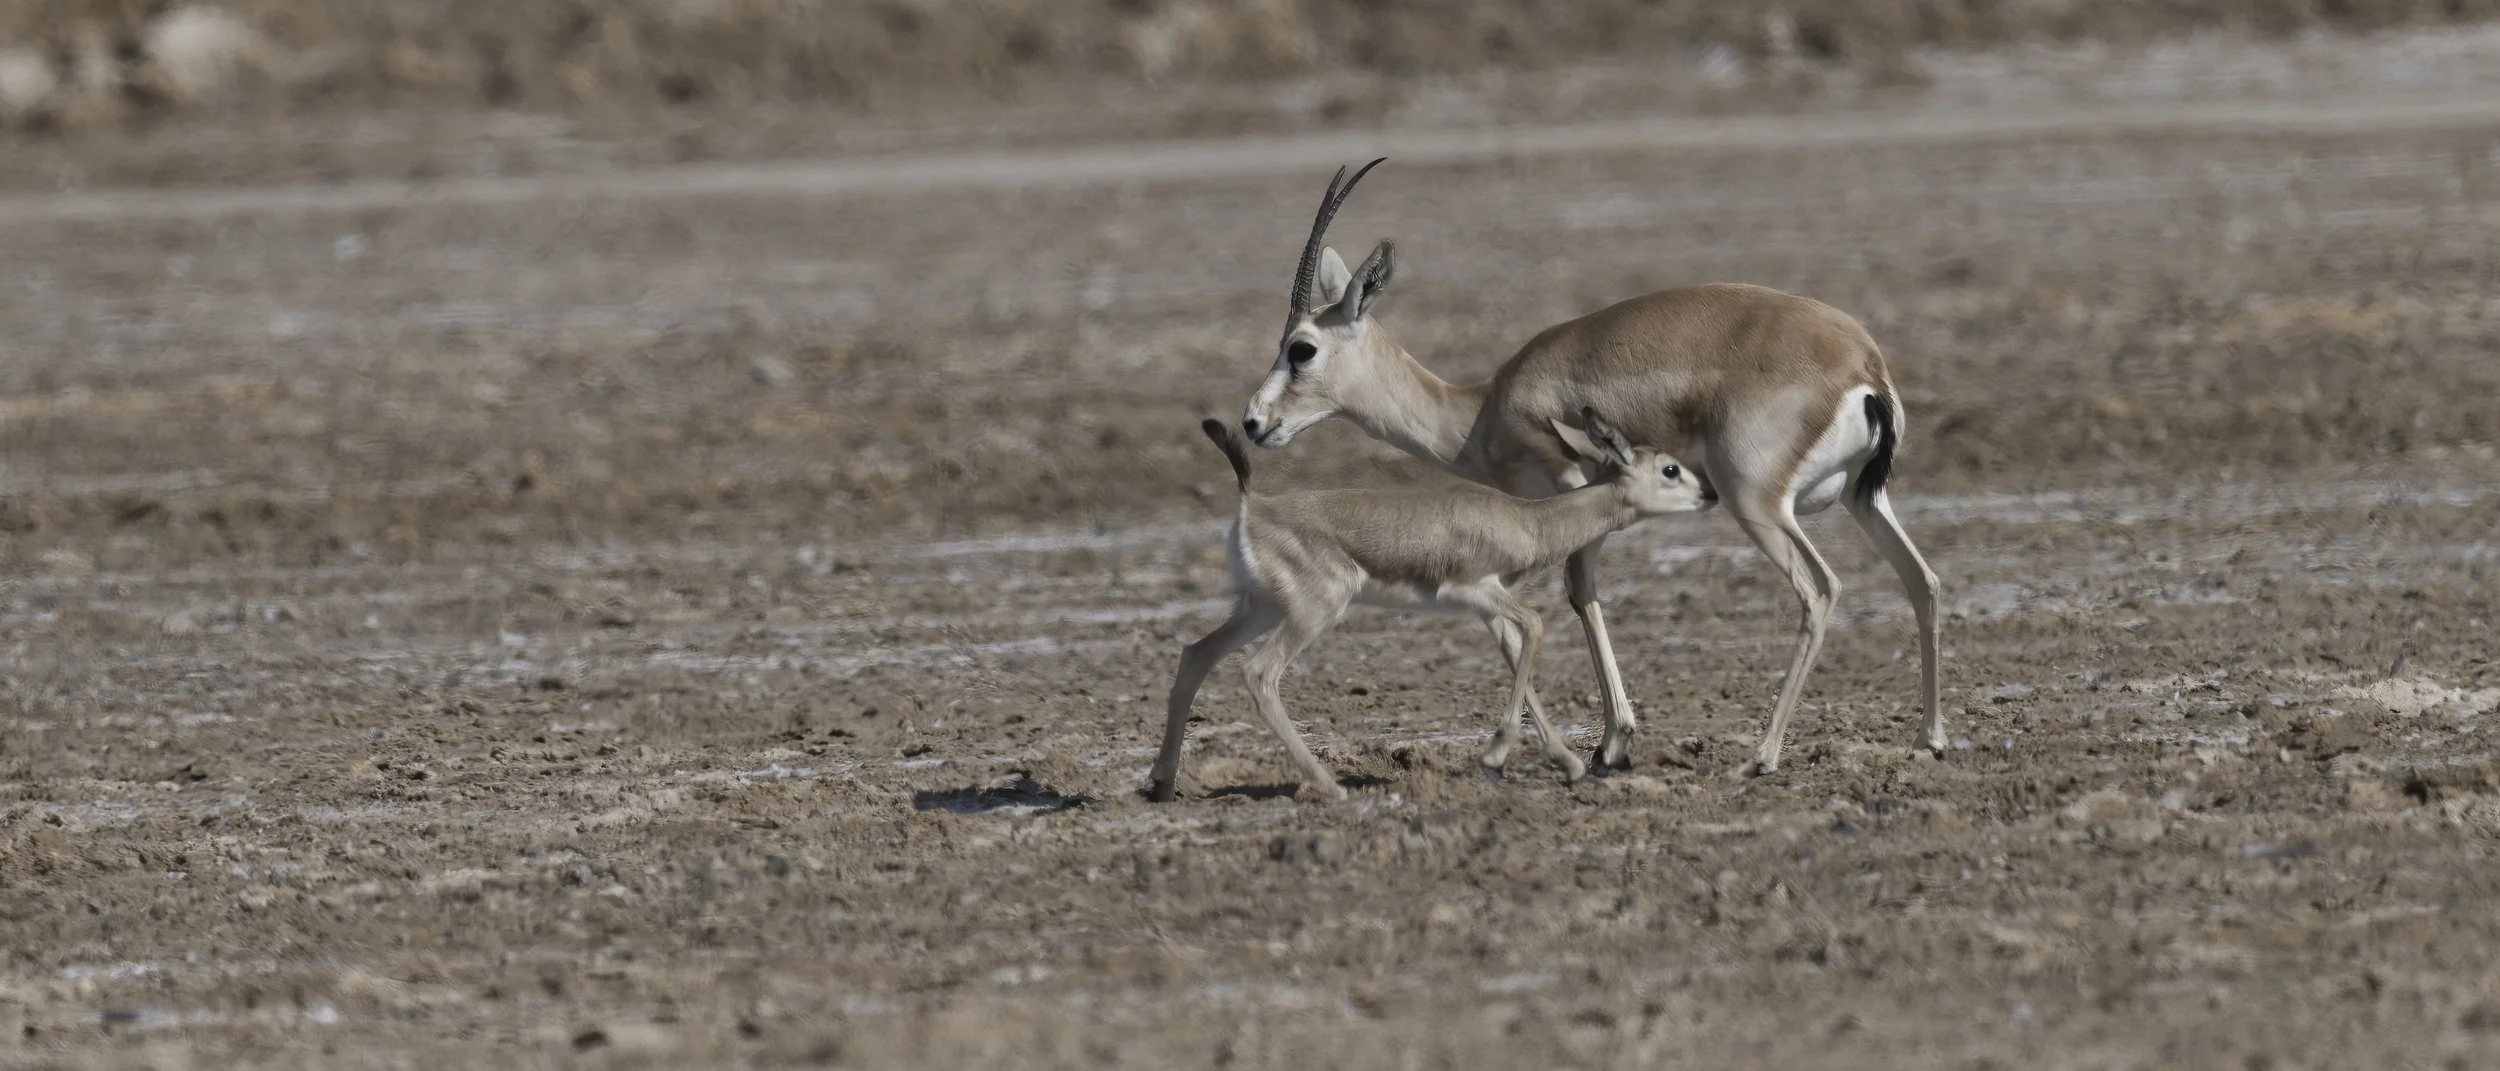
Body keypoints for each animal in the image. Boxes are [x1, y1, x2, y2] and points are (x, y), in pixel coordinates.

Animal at [1148, 411, 1712, 803]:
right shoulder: (1479, 592)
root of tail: (1255, 503)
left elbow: (1519, 658)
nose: (1710, 495)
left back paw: (1162, 783)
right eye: (1670, 468)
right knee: (1259, 674)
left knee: (1196, 655)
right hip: (1312, 611)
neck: (1528, 522)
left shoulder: (1489, 610)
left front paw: (1567, 765)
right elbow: (1535, 626)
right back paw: (1330, 786)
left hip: (1260, 608)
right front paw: (1495, 756)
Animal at [1237, 160, 1943, 775]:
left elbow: (1571, 598)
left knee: (1820, 590)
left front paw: (1609, 744)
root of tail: (1861, 363)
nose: (1252, 422)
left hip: (1756, 503)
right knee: (1924, 580)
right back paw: (1929, 740)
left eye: (1301, 349)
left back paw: (1762, 757)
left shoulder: (1567, 488)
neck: (1481, 409)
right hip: (1862, 500)